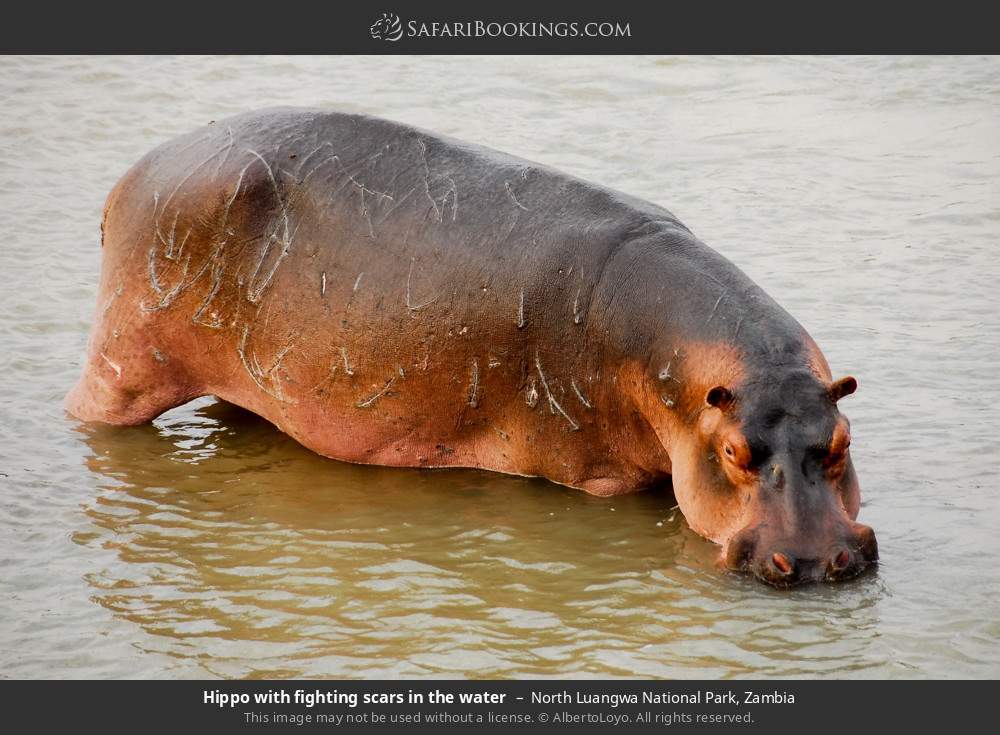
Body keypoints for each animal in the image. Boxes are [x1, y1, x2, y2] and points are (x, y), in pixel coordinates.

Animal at [66, 107, 877, 586]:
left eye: (841, 441)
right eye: (735, 454)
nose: (816, 562)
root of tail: (133, 172)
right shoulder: (595, 474)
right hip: (124, 357)